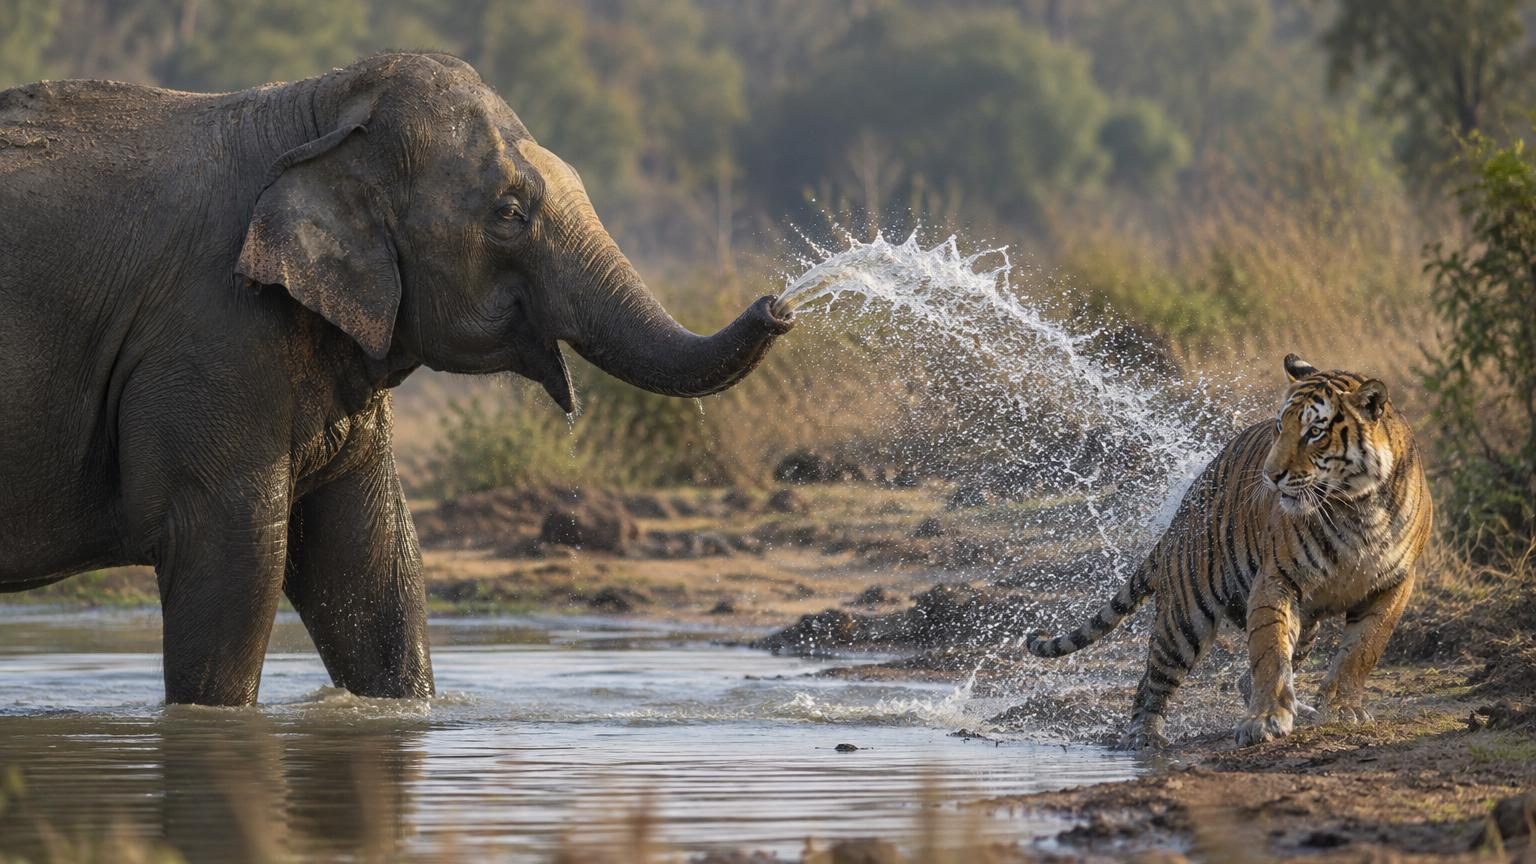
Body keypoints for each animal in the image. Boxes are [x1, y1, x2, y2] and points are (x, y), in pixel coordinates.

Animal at [0, 52, 793, 705]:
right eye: (509, 213)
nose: (780, 304)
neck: (313, 109)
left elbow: (374, 559)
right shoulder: (211, 336)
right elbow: (236, 559)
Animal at [1026, 355, 1433, 750]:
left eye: (1314, 432)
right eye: (1279, 427)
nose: (1271, 476)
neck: (1357, 507)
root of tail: (1177, 520)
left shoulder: (1396, 583)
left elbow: (1361, 651)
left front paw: (1340, 711)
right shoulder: (1276, 580)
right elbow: (1269, 653)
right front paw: (1265, 721)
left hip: (1305, 625)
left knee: (1247, 676)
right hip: (1184, 619)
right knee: (1151, 683)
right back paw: (1145, 736)